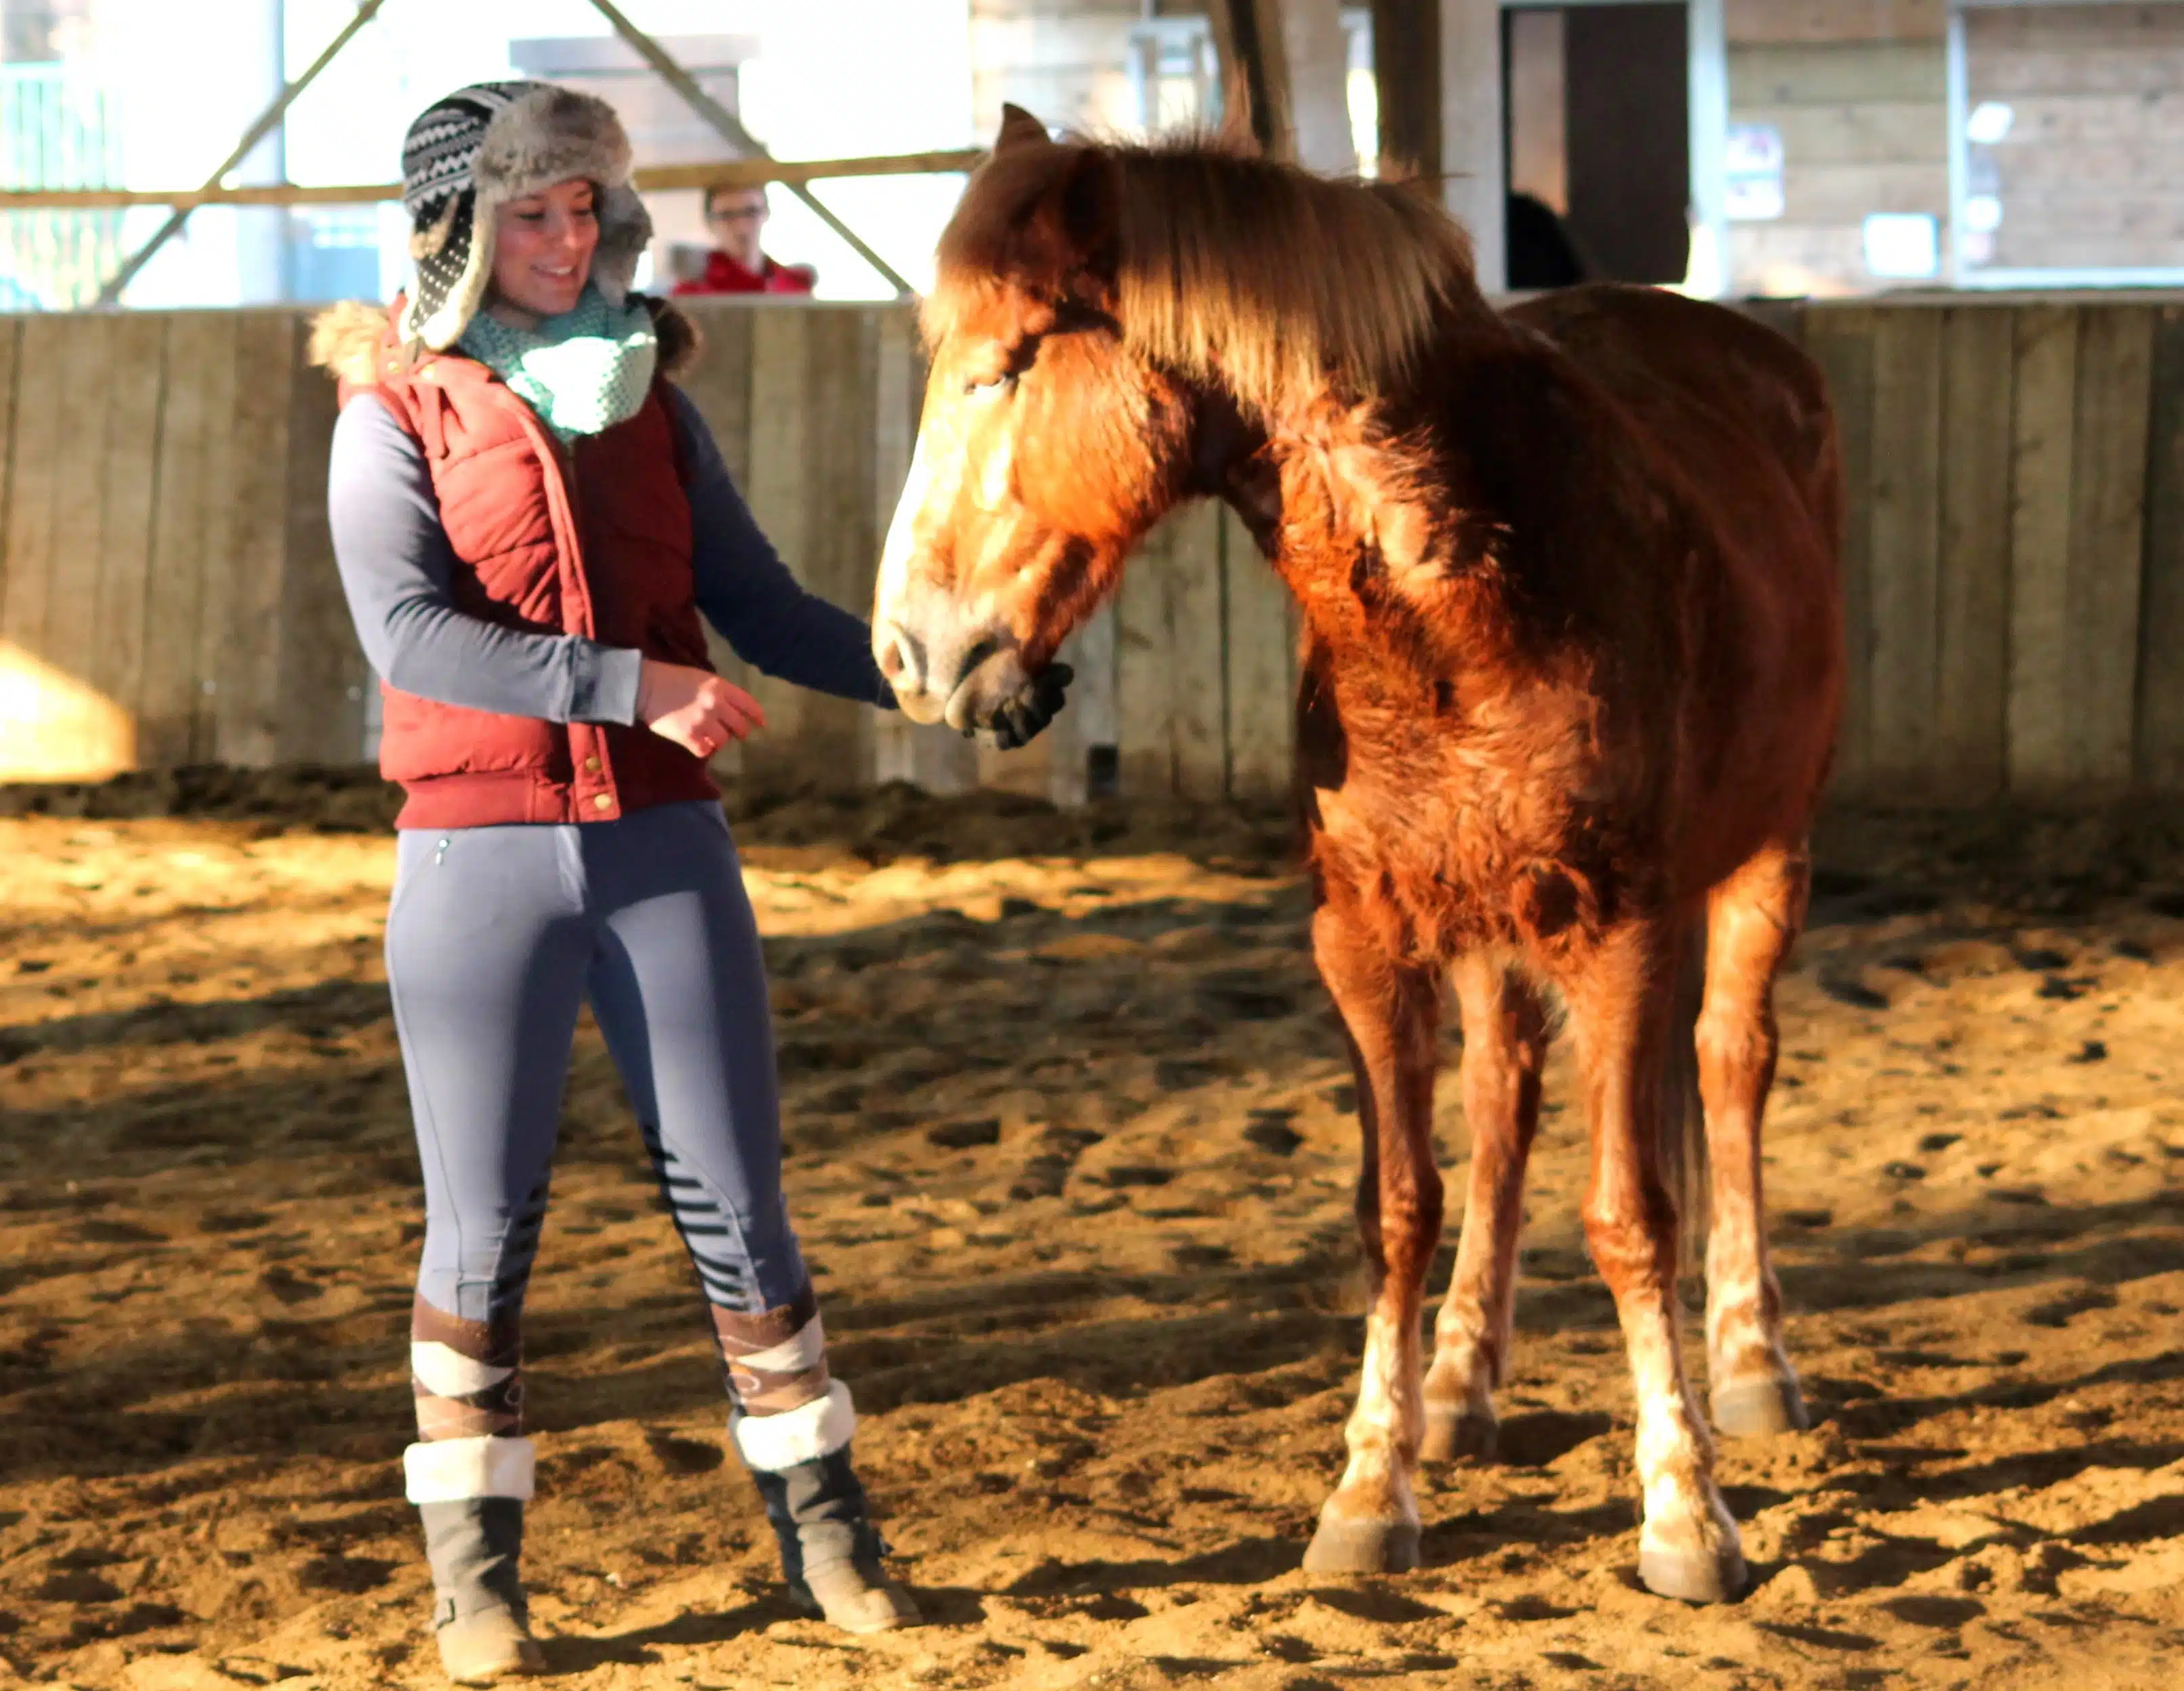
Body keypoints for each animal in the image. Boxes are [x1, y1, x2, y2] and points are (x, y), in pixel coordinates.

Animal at [869, 112, 1843, 1608]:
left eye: (1010, 362)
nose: (910, 652)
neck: (1463, 615)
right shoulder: (1365, 942)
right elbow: (1397, 1208)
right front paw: (1369, 1488)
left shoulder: (1622, 932)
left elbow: (1632, 1214)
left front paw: (1685, 1513)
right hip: (1493, 928)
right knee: (1500, 1108)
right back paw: (1461, 1384)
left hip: (1763, 857)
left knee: (1730, 1069)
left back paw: (1746, 1360)